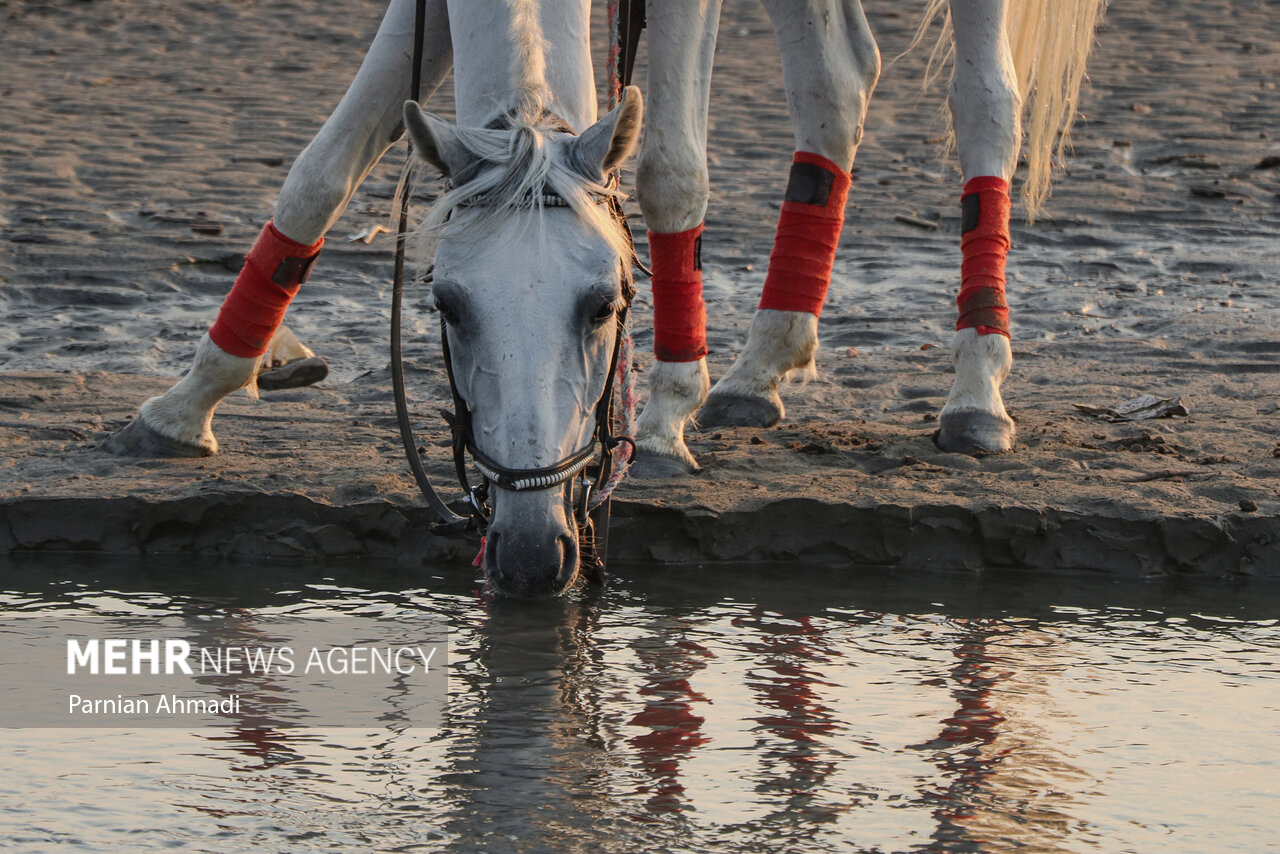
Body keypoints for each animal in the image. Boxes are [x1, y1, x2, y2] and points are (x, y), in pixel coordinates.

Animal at [104, 0, 1105, 599]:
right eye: (447, 305)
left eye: (608, 303)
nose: (526, 554)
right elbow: (321, 168)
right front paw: (187, 403)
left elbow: (667, 166)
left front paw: (662, 418)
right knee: (840, 77)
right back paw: (760, 369)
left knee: (988, 100)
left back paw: (975, 394)